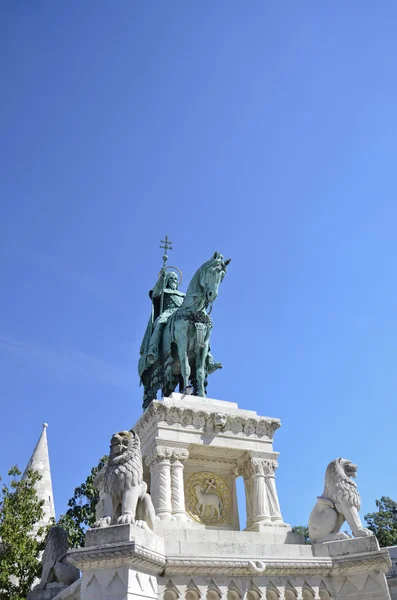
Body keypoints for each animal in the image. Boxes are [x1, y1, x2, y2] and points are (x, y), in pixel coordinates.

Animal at [142, 251, 229, 410]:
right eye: (212, 271)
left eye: (223, 276)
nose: (212, 295)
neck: (195, 311)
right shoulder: (182, 341)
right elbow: (186, 368)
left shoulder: (203, 345)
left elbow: (200, 372)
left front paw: (201, 396)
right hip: (153, 379)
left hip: (170, 377)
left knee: (169, 388)